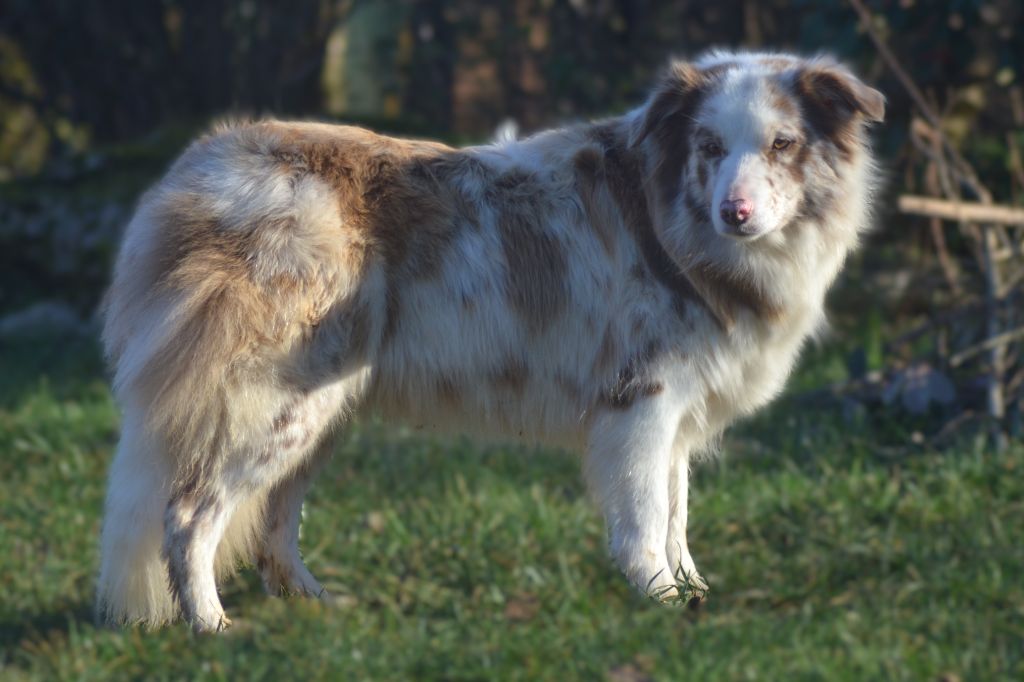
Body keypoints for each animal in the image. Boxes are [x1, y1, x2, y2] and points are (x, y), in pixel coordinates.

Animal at [97, 50, 880, 630]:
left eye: (783, 145)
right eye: (710, 148)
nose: (734, 212)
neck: (678, 224)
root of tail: (194, 173)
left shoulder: (678, 412)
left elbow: (677, 514)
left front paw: (694, 593)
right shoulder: (640, 404)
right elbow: (645, 520)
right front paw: (659, 600)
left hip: (321, 411)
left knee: (272, 522)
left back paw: (318, 611)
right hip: (271, 405)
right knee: (189, 514)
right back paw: (211, 628)